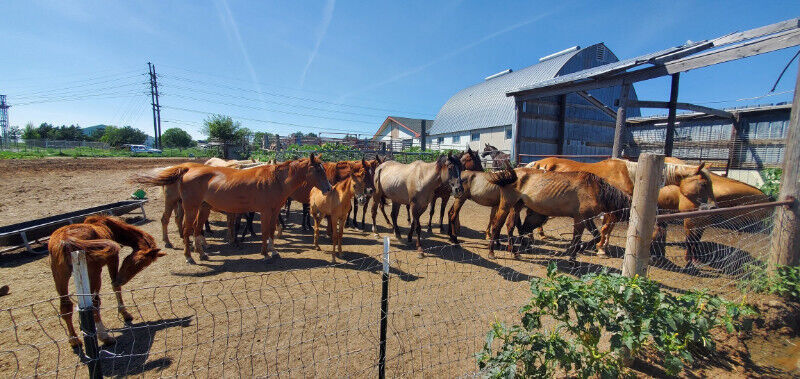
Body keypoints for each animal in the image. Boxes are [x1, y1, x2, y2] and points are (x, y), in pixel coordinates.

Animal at [48, 215, 164, 348]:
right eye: (138, 264)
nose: (121, 280)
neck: (108, 227)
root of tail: (65, 239)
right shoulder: (113, 260)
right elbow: (115, 288)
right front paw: (125, 313)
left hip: (60, 277)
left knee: (66, 307)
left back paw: (74, 340)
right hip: (94, 274)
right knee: (94, 303)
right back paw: (105, 337)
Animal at [132, 154, 332, 264]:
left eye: (324, 169)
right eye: (318, 170)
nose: (329, 188)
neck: (275, 180)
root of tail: (186, 169)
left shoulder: (274, 211)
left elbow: (271, 232)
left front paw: (274, 251)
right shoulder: (265, 212)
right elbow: (264, 232)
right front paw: (265, 254)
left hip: (202, 209)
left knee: (196, 229)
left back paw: (202, 253)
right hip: (189, 207)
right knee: (185, 228)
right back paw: (188, 256)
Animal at [488, 166, 632, 262]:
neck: (594, 189)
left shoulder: (585, 219)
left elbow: (592, 237)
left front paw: (576, 252)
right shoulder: (581, 219)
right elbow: (578, 239)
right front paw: (573, 256)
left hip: (517, 206)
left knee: (510, 226)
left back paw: (515, 251)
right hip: (507, 205)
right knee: (497, 225)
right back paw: (492, 252)